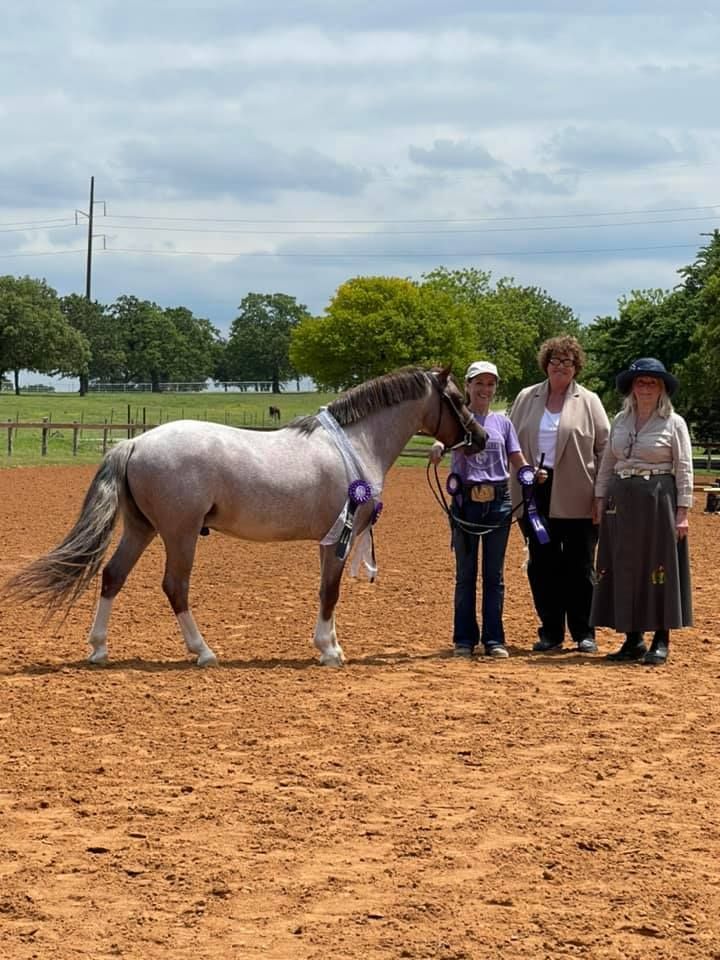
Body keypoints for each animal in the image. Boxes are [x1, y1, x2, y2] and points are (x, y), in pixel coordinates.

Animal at [5, 366, 485, 668]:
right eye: (456, 399)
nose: (480, 437)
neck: (353, 442)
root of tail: (134, 443)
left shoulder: (330, 541)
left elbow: (326, 593)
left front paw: (331, 645)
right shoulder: (339, 539)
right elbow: (329, 593)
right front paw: (329, 651)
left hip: (142, 530)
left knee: (112, 576)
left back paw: (99, 649)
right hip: (179, 534)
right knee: (174, 587)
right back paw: (203, 652)